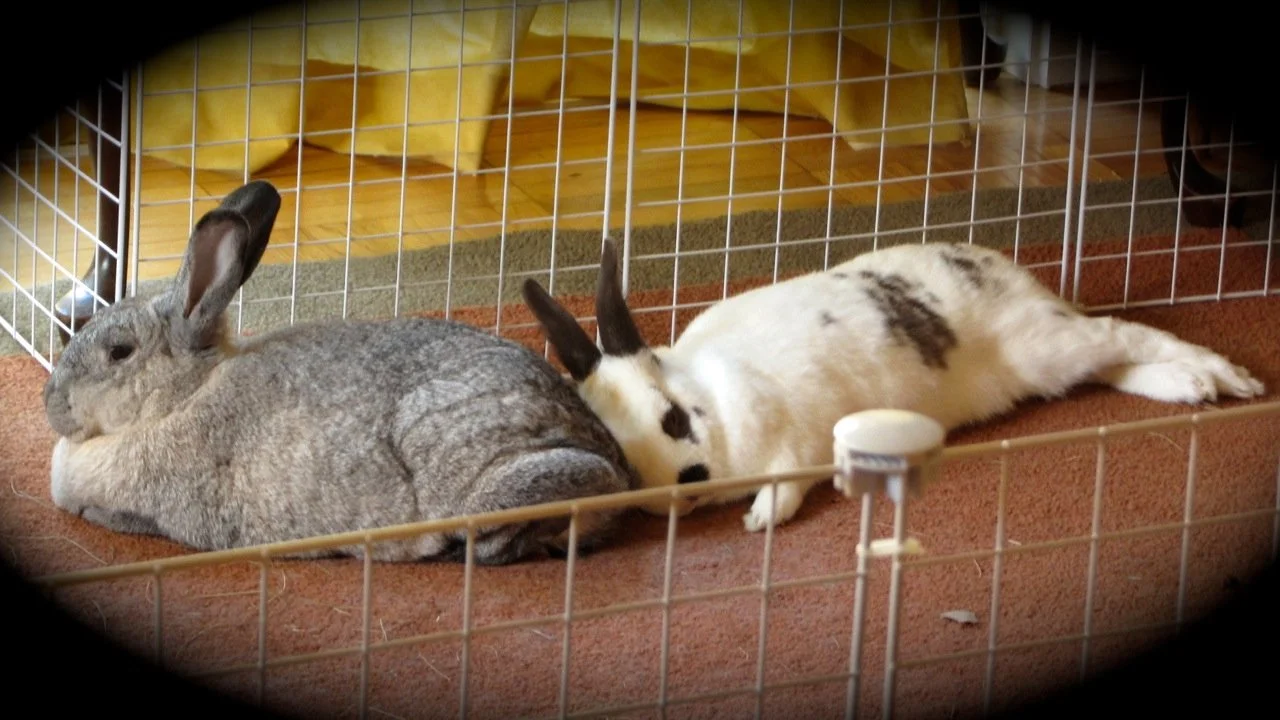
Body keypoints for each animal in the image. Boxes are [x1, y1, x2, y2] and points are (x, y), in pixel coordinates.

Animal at [521, 238, 1266, 533]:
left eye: (675, 418)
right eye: (620, 454)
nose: (684, 486)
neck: (712, 394)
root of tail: (1004, 270)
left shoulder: (797, 441)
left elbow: (789, 482)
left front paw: (761, 518)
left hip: (1045, 345)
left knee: (1123, 334)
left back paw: (1226, 378)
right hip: (1051, 361)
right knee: (1112, 359)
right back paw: (1188, 387)